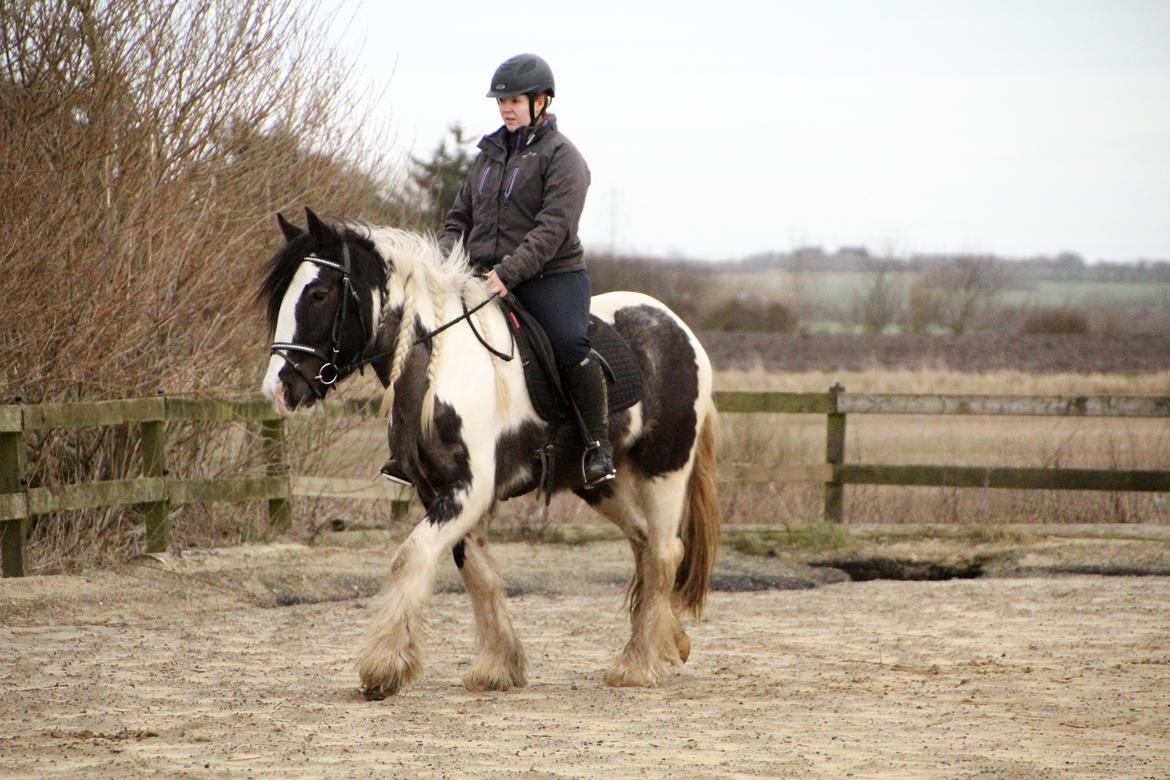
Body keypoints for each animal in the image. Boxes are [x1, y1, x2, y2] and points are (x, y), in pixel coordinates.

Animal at [259, 209, 716, 701]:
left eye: (318, 293)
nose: (279, 389)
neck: (440, 366)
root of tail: (678, 328)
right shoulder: (436, 490)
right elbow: (476, 573)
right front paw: (500, 666)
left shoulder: (470, 490)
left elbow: (412, 555)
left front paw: (383, 667)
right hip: (599, 483)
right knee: (645, 543)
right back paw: (669, 641)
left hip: (663, 471)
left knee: (664, 553)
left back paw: (638, 664)